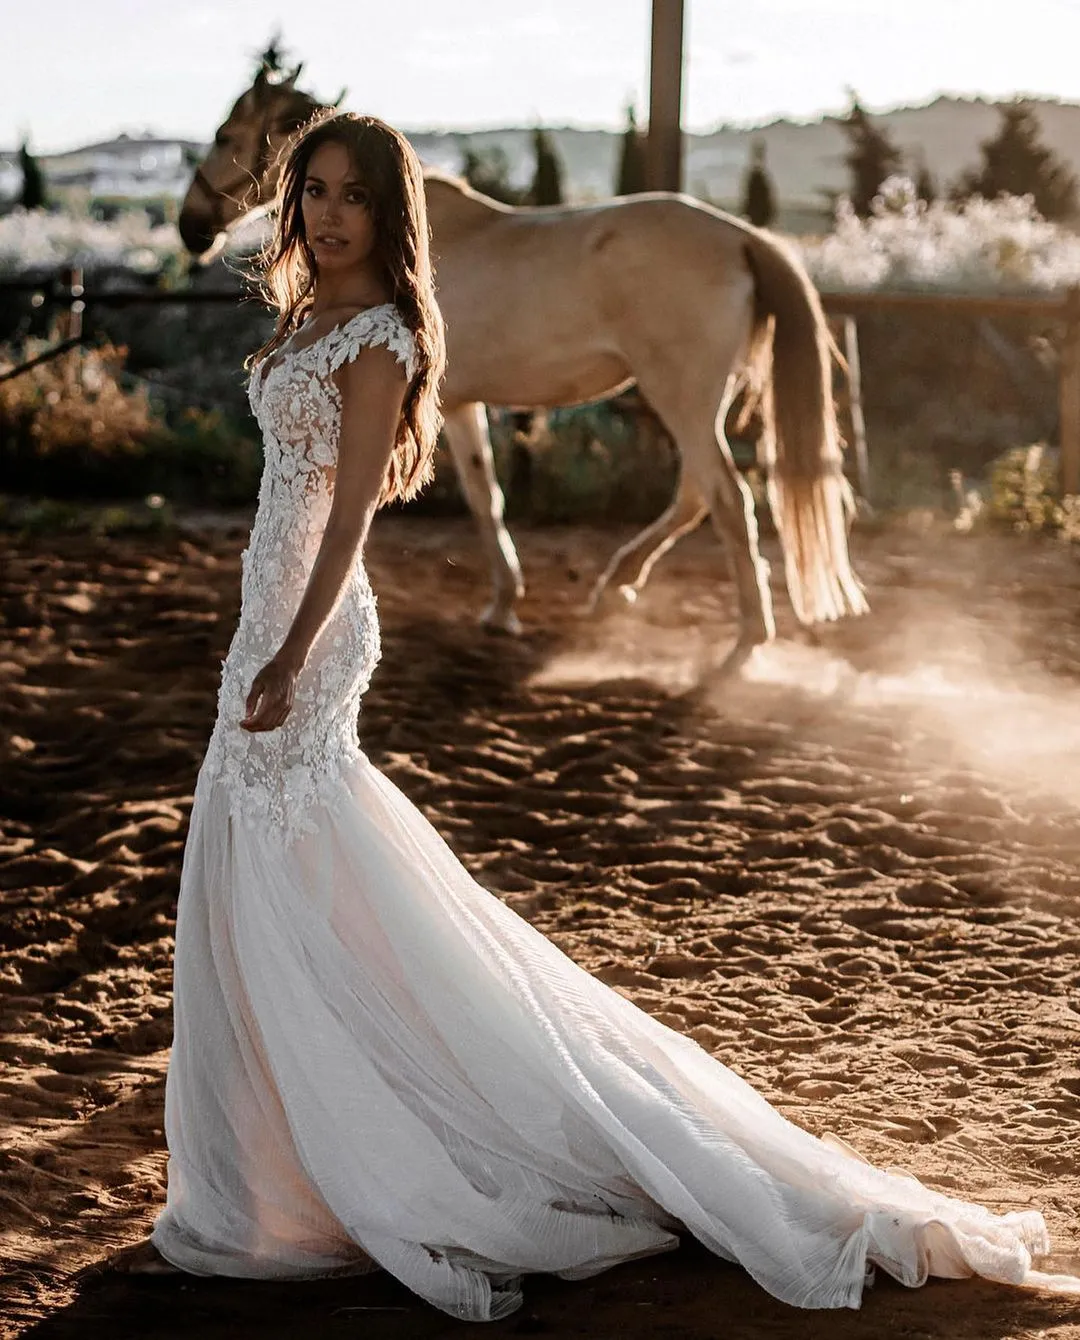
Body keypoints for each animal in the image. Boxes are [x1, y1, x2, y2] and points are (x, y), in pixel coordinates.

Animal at [179, 66, 873, 664]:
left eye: (226, 136)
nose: (191, 226)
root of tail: (741, 237)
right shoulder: (462, 404)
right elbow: (489, 493)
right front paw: (505, 604)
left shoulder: (444, 404)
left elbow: (482, 498)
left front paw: (502, 603)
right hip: (699, 403)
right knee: (696, 494)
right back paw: (617, 585)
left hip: (682, 396)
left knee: (726, 498)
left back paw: (747, 637)